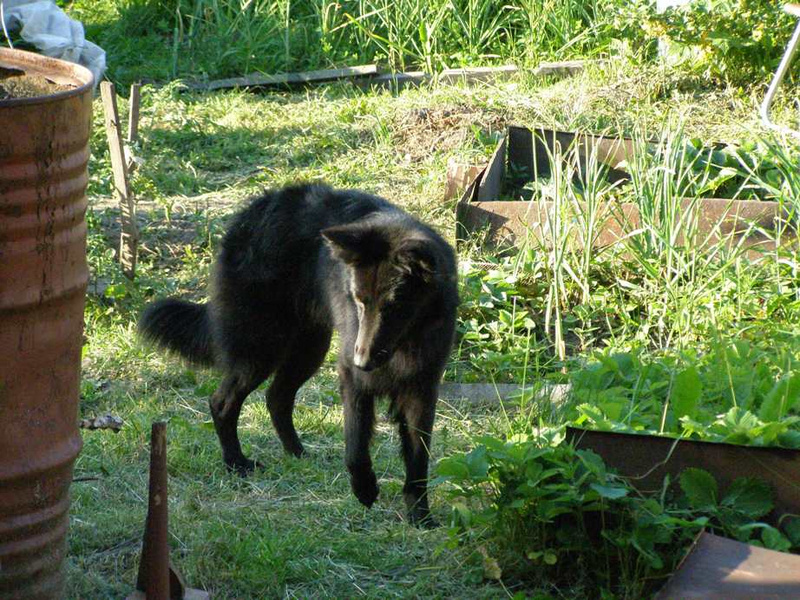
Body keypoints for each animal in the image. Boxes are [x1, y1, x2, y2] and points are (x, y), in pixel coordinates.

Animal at [139, 183, 458, 525]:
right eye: (358, 301)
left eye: (393, 305)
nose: (363, 362)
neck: (405, 342)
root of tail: (252, 212)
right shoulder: (352, 380)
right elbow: (355, 447)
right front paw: (364, 489)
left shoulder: (421, 390)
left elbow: (418, 458)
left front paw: (419, 514)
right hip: (262, 351)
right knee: (222, 402)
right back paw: (236, 463)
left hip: (308, 349)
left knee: (276, 397)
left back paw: (297, 453)